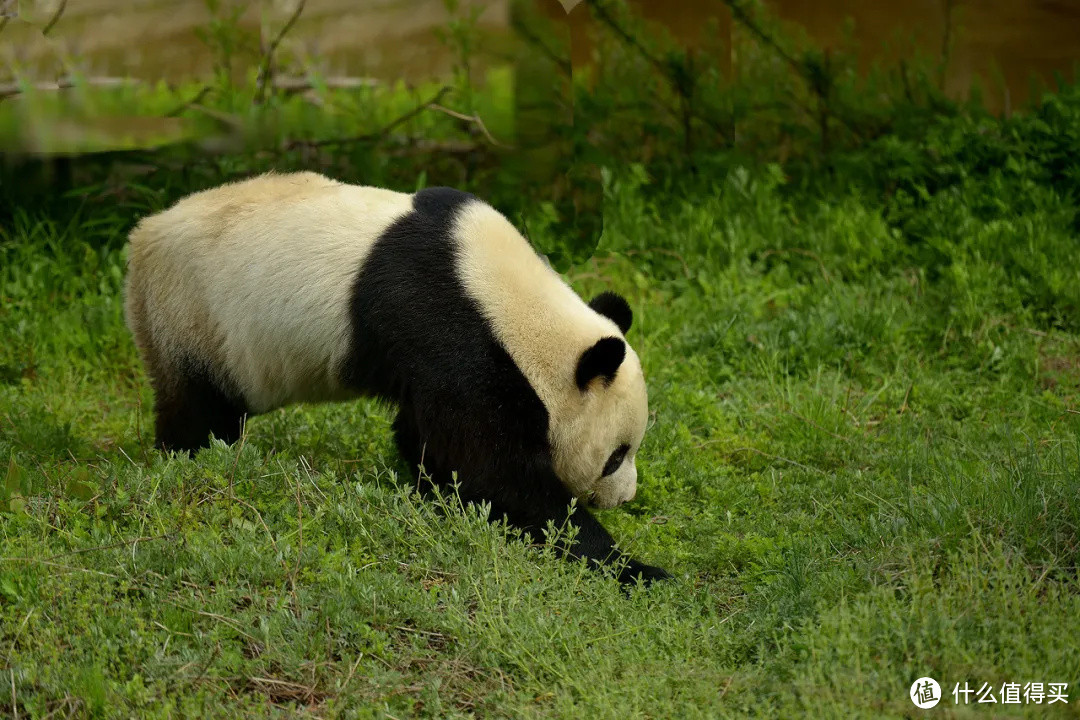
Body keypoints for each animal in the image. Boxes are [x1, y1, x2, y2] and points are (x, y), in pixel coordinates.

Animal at [122, 172, 669, 587]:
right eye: (616, 455)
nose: (626, 498)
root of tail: (141, 237)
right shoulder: (448, 330)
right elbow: (495, 471)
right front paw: (634, 568)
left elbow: (430, 441)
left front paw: (436, 493)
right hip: (190, 316)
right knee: (198, 411)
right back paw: (190, 462)